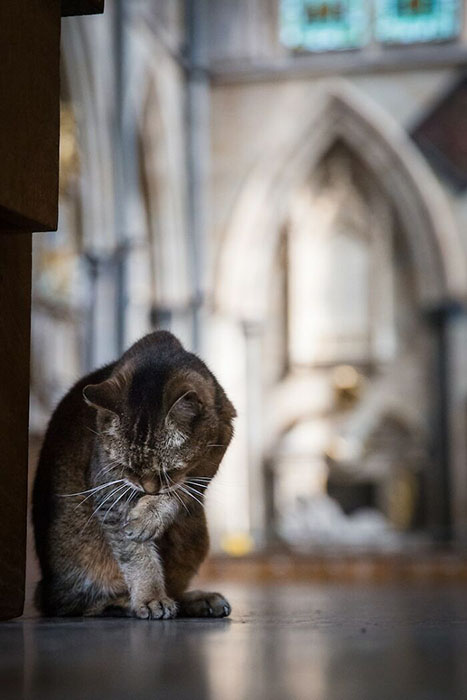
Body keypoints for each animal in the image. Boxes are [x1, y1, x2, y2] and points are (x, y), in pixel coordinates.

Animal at [33, 332, 238, 616]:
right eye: (127, 468)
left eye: (168, 471)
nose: (148, 489)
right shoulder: (111, 493)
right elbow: (135, 555)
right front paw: (150, 597)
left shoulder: (206, 467)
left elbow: (175, 494)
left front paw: (149, 517)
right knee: (90, 603)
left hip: (196, 534)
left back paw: (199, 600)